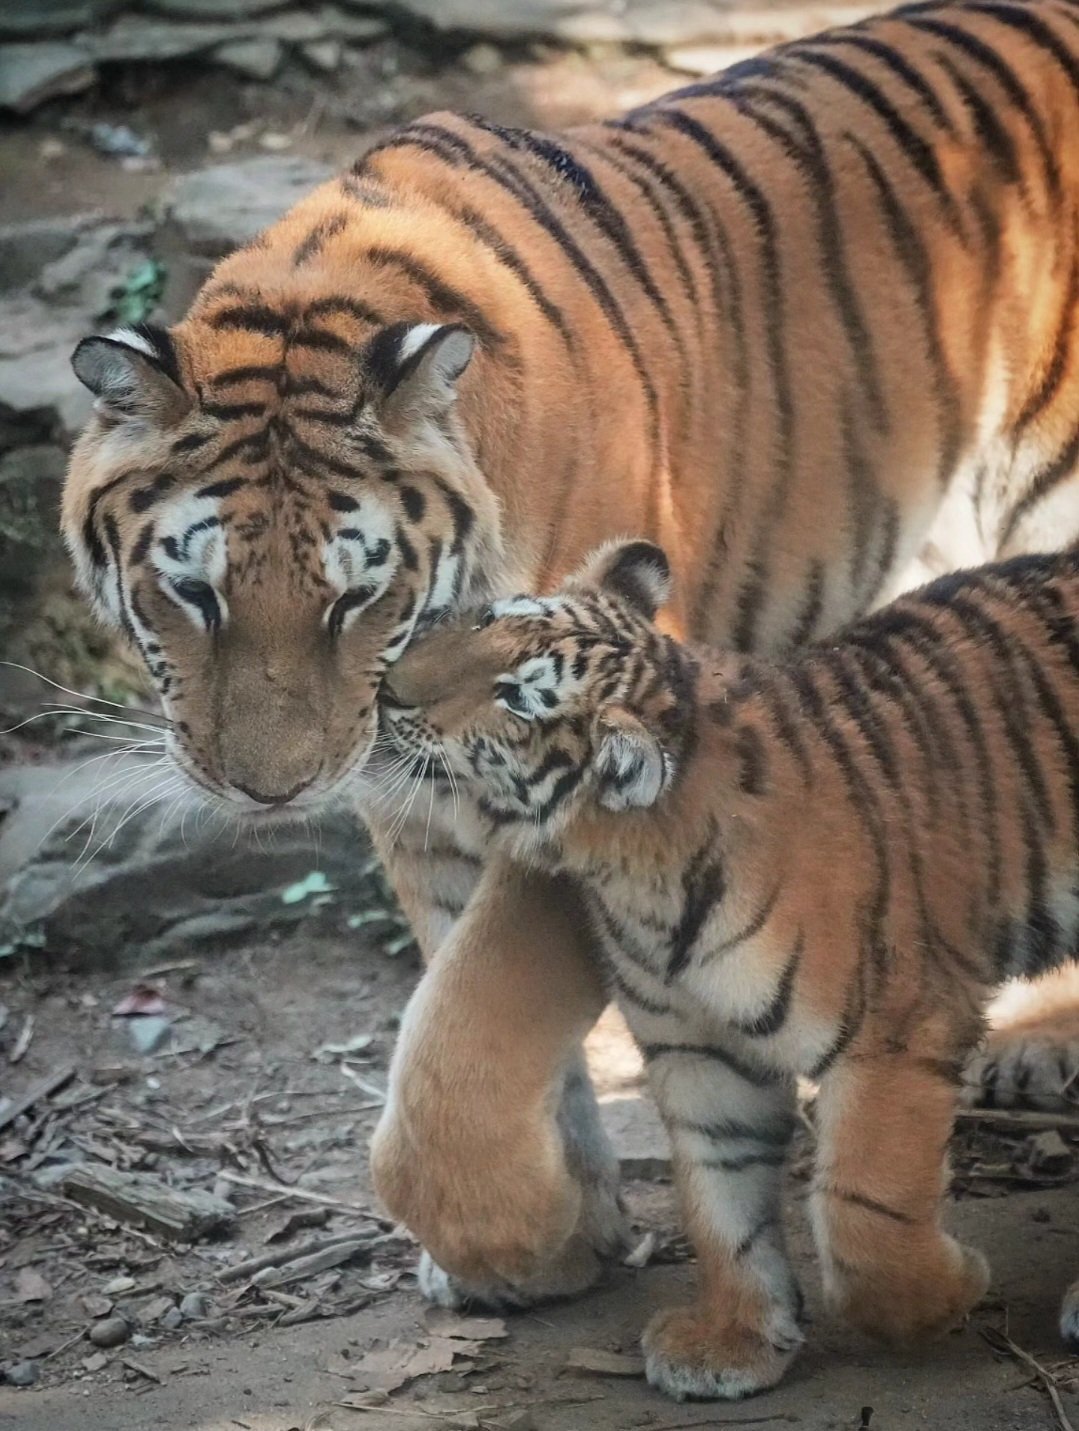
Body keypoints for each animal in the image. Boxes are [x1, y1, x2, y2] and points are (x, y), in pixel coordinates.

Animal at [61, 0, 1079, 1308]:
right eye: (193, 591)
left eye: (355, 598)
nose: (271, 792)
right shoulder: (415, 801)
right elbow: (465, 1016)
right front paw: (558, 1236)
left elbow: (463, 1034)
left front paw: (513, 1243)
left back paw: (1034, 1040)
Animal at [380, 536, 1079, 1400]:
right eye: (481, 621)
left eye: (514, 699)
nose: (386, 689)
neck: (638, 876)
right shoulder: (697, 1045)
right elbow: (720, 1197)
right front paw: (736, 1342)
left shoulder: (895, 1032)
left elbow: (863, 1215)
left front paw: (948, 1290)